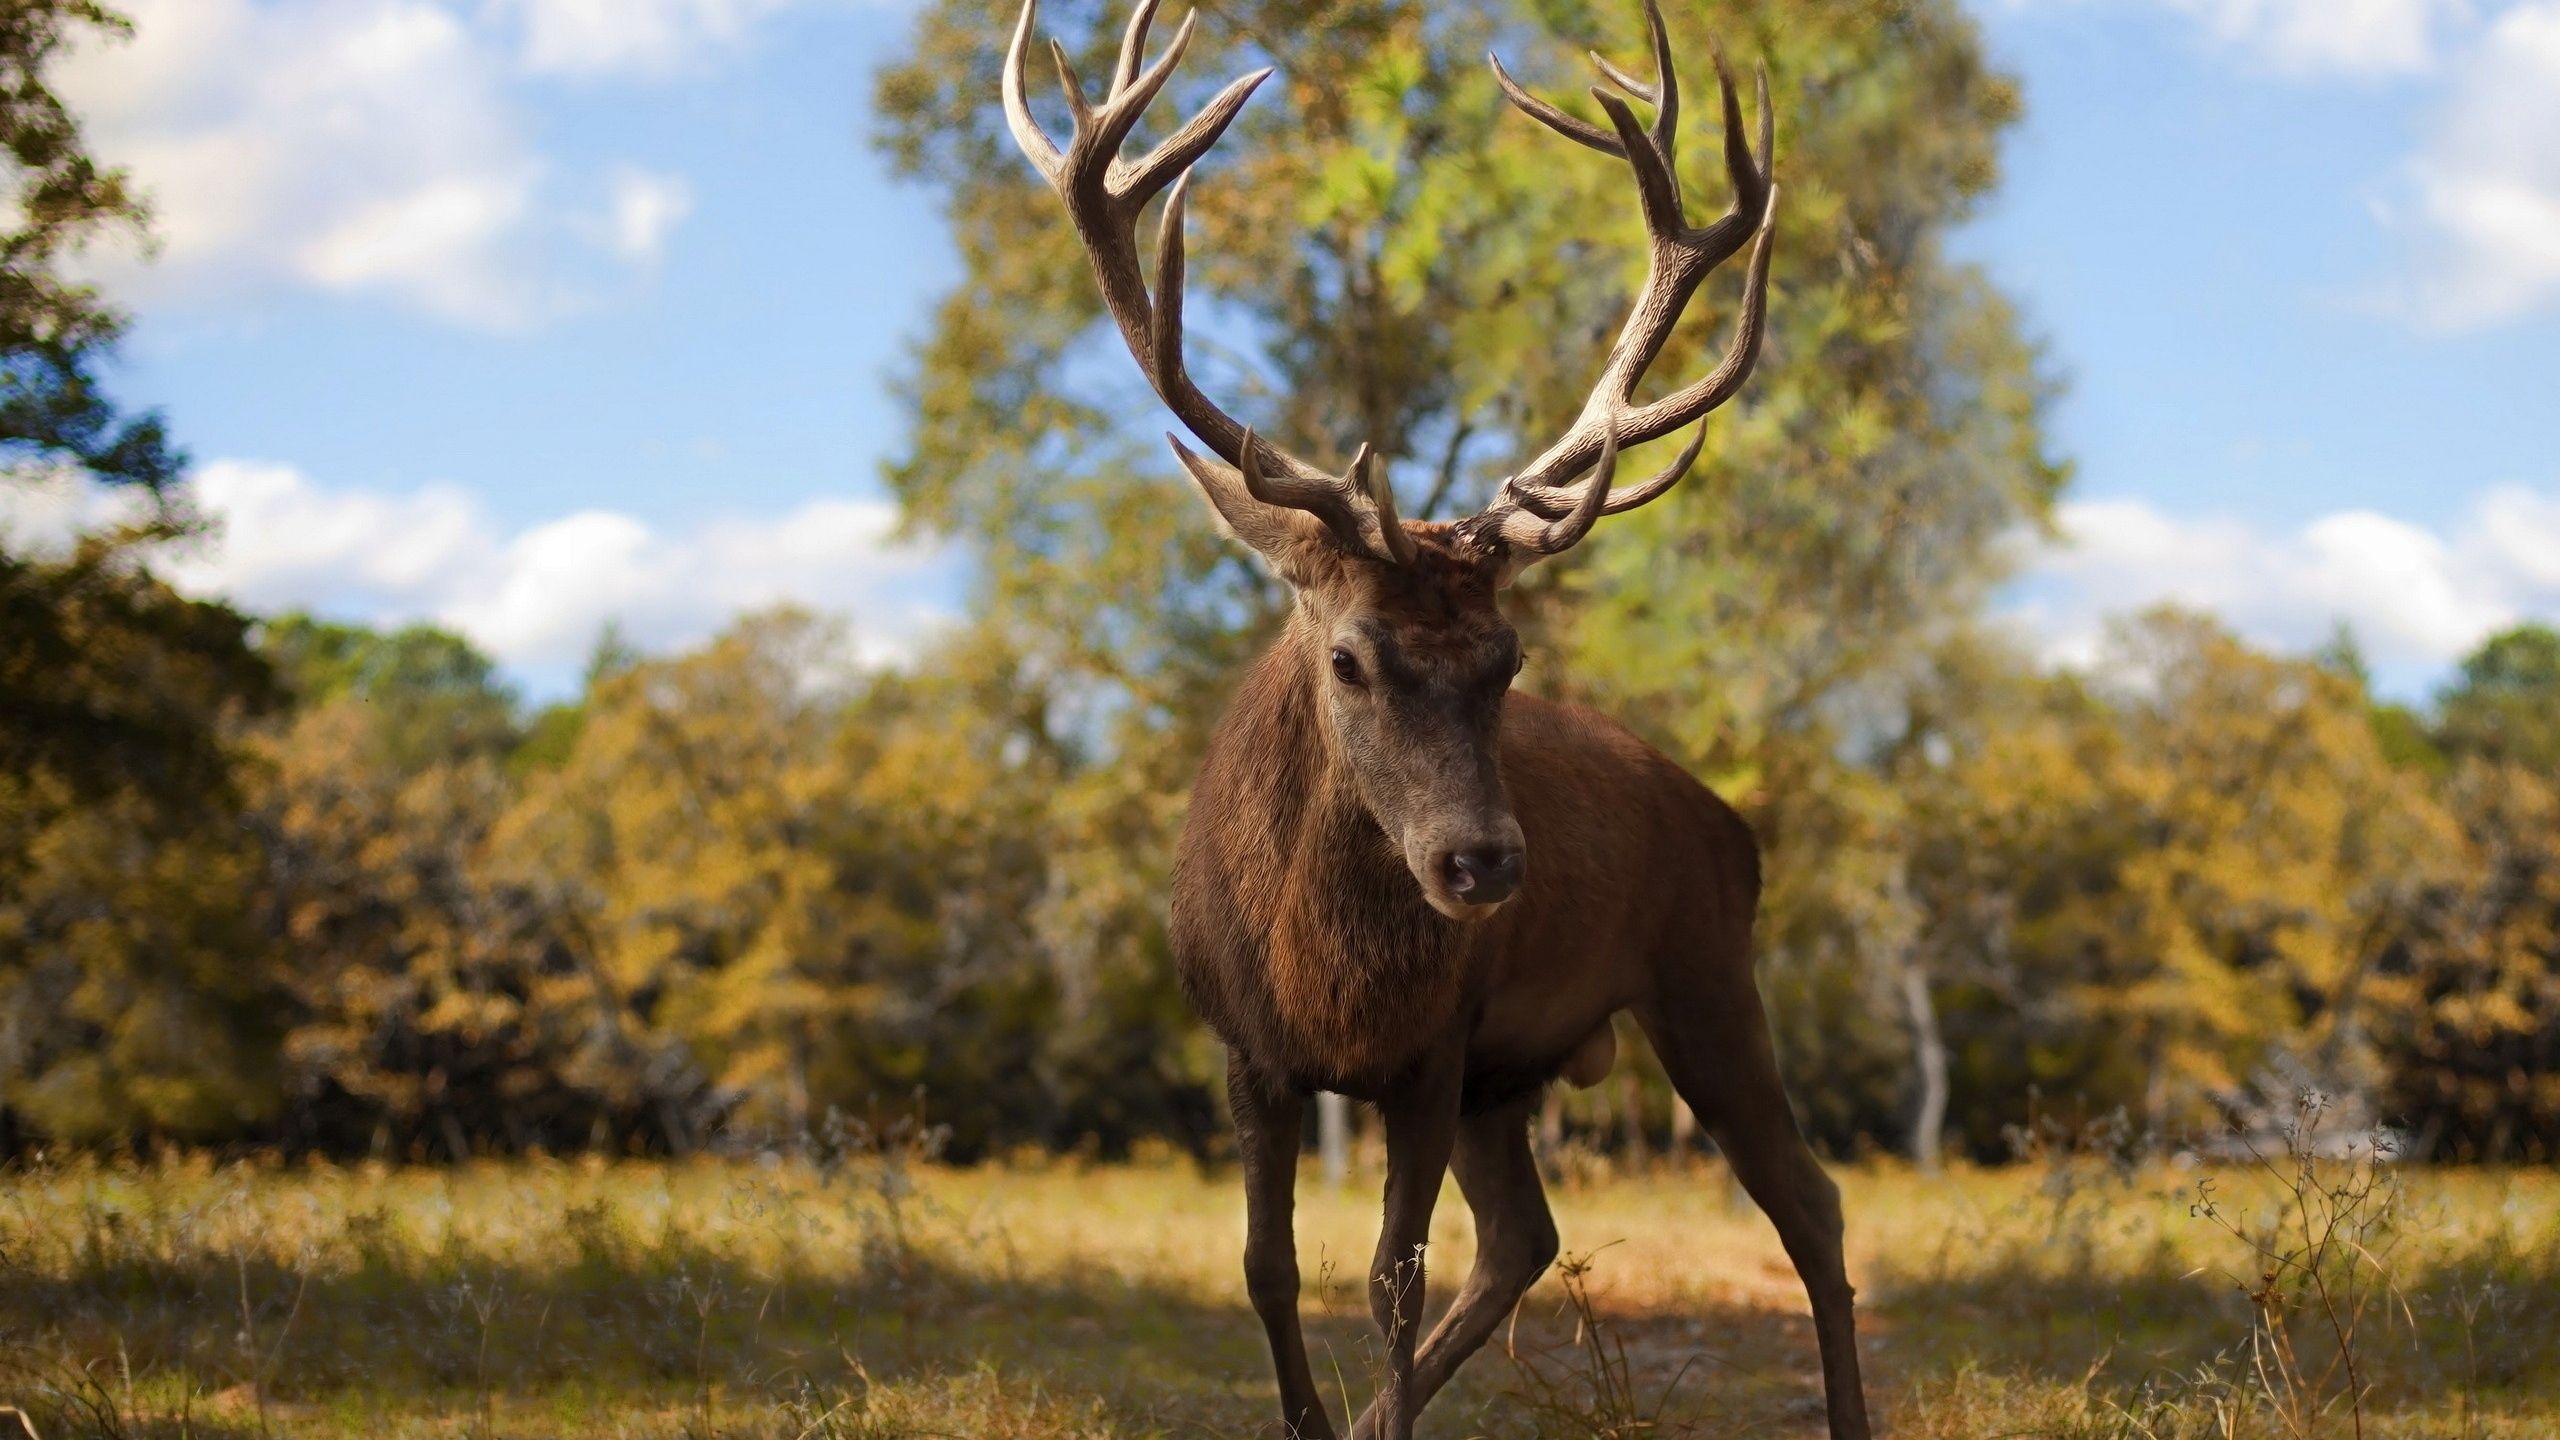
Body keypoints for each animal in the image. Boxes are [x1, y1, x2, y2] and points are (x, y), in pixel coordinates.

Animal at [999, 1, 1869, 1436]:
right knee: (1526, 1236)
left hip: (1704, 973)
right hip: (1517, 1079)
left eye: (1508, 658)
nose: (1482, 863)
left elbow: (1389, 1282)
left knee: (1809, 1202)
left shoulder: (1431, 1052)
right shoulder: (1248, 1050)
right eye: (1351, 657)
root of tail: (1730, 821)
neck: (1328, 987)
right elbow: (1267, 1267)